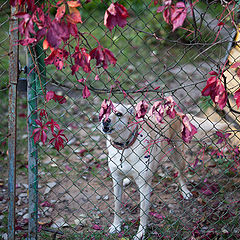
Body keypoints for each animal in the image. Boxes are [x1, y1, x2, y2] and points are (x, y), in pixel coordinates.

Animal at [101, 102, 229, 239]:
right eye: (104, 113)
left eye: (119, 114)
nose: (105, 120)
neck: (125, 146)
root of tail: (175, 111)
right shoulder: (116, 180)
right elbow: (116, 206)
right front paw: (116, 226)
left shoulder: (144, 186)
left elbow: (143, 213)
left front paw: (140, 233)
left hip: (178, 156)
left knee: (181, 174)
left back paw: (185, 191)